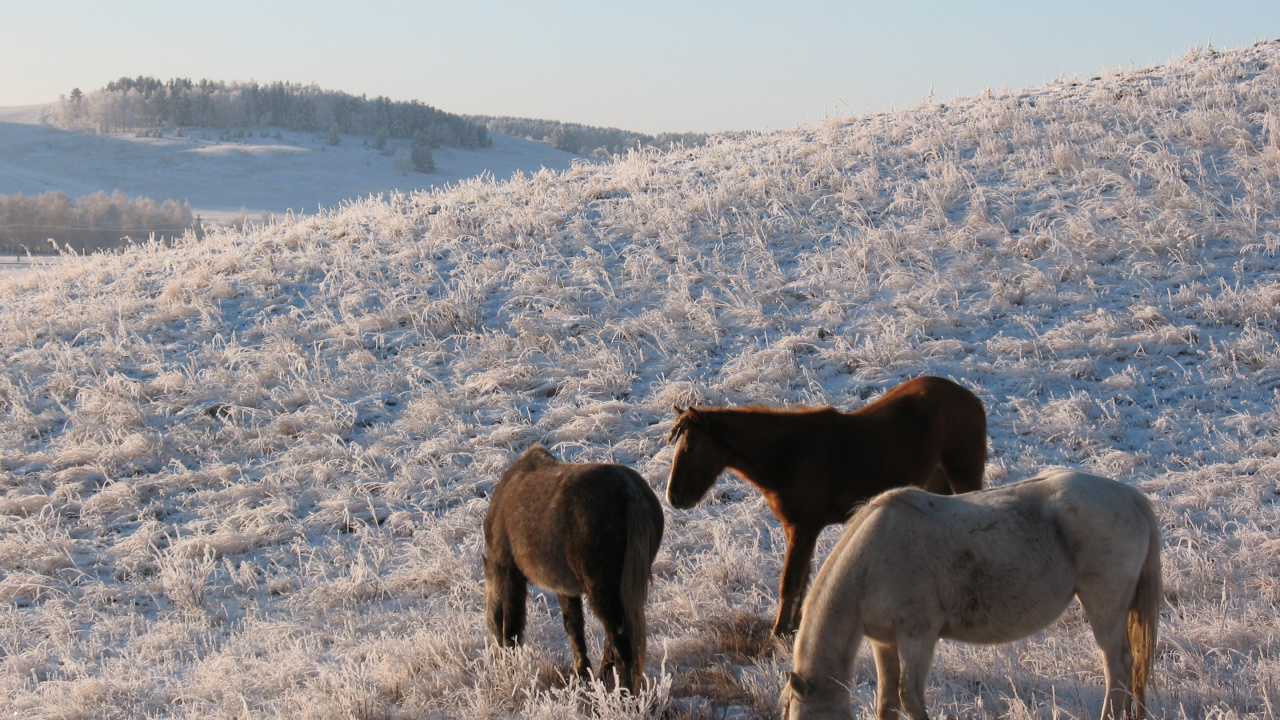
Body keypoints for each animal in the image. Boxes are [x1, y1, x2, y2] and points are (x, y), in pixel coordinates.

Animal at [483, 445, 664, 692]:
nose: (494, 657)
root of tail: (630, 491)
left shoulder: (510, 573)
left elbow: (512, 627)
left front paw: (511, 670)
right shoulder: (565, 586)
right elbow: (573, 625)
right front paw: (581, 671)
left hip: (601, 588)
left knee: (619, 635)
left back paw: (623, 690)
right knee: (614, 634)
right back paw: (604, 678)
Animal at [666, 375, 987, 635]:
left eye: (691, 447)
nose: (674, 497)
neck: (788, 455)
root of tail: (970, 397)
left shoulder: (803, 528)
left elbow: (791, 581)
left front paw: (779, 632)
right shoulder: (795, 529)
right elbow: (802, 578)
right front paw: (793, 627)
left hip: (964, 475)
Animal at [781, 470, 1162, 720]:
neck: (870, 563)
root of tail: (1129, 497)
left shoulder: (918, 637)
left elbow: (910, 697)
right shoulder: (884, 642)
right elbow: (887, 701)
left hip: (1104, 606)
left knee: (1117, 666)